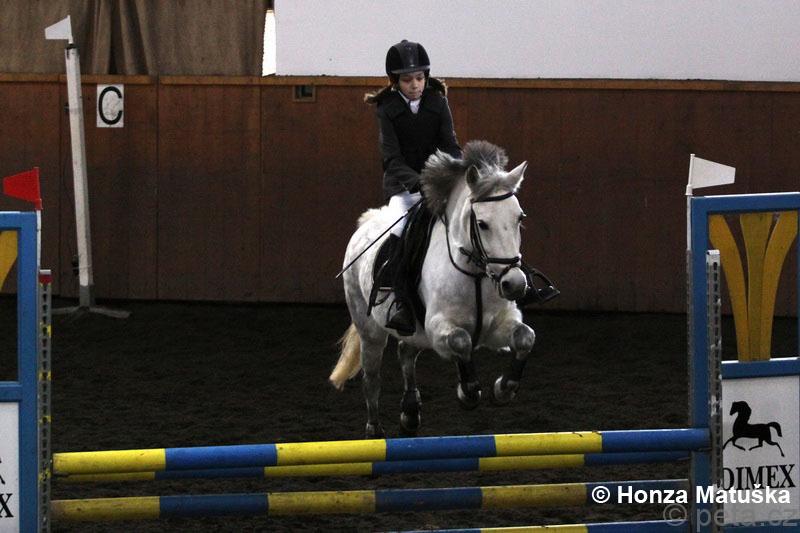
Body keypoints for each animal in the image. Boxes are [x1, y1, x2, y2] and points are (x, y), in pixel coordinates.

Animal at [330, 140, 536, 438]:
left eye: (519, 218)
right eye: (482, 224)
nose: (515, 284)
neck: (475, 276)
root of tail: (365, 224)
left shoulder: (497, 325)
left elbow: (525, 337)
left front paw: (503, 389)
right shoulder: (440, 328)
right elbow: (461, 341)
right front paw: (468, 392)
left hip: (415, 332)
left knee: (406, 353)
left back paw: (410, 413)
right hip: (369, 329)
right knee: (372, 376)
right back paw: (374, 431)